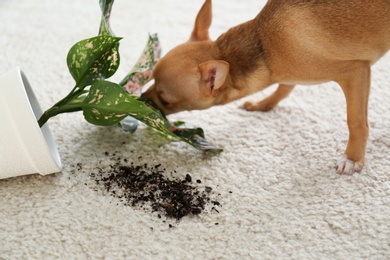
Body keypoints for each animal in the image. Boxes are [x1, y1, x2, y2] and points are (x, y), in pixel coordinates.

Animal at [142, 0, 390, 175]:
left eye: (165, 99)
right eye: (150, 80)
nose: (142, 98)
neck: (264, 46)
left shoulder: (355, 72)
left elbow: (356, 122)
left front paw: (352, 159)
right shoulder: (289, 73)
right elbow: (284, 89)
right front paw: (263, 105)